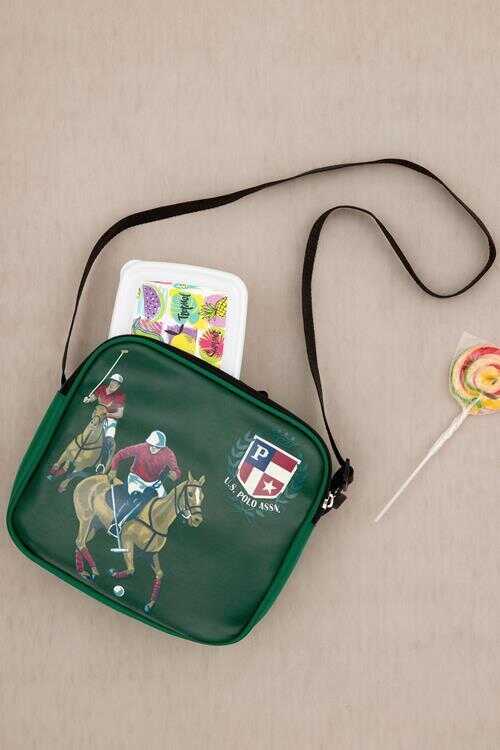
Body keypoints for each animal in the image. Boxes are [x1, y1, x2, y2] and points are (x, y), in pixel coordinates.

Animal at [72, 471, 206, 612]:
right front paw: (113, 574)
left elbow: (159, 574)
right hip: (86, 518)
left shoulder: (150, 553)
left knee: (80, 543)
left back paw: (81, 571)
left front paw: (150, 604)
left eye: (202, 496)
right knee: (80, 542)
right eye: (190, 494)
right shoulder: (127, 539)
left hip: (95, 525)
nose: (197, 520)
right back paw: (94, 571)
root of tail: (89, 478)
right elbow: (131, 569)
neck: (157, 518)